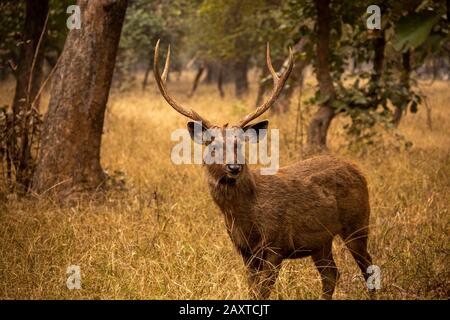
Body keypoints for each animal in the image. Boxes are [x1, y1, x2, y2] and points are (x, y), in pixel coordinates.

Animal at [153, 40, 374, 300]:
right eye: (213, 145)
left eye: (240, 143)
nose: (234, 167)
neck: (245, 218)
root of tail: (359, 171)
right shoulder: (245, 251)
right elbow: (253, 290)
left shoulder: (276, 244)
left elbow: (262, 291)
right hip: (321, 241)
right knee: (331, 274)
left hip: (358, 222)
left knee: (368, 267)